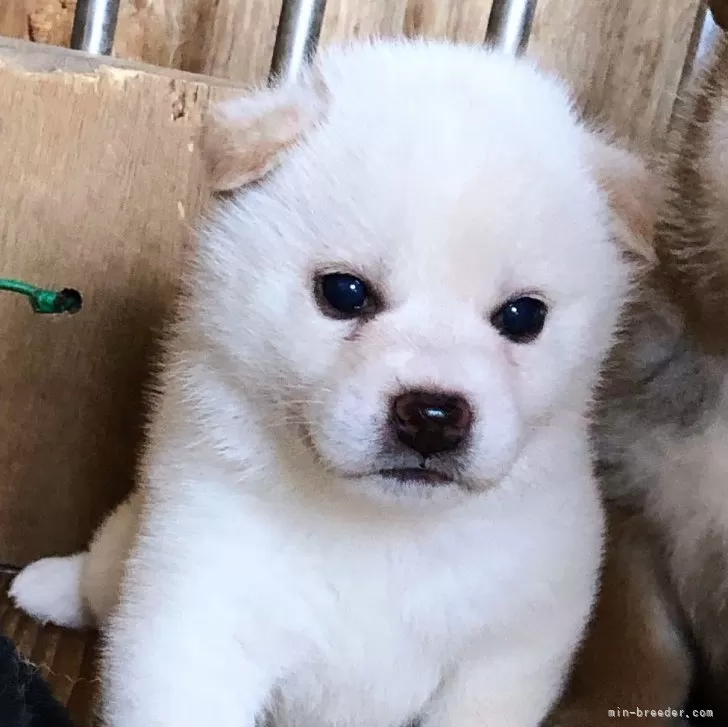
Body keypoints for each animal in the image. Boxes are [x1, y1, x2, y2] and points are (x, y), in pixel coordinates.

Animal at [12, 38, 656, 727]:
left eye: (523, 316)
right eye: (344, 293)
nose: (433, 414)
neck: (379, 531)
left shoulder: (504, 656)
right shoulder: (198, 615)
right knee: (102, 570)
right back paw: (50, 585)